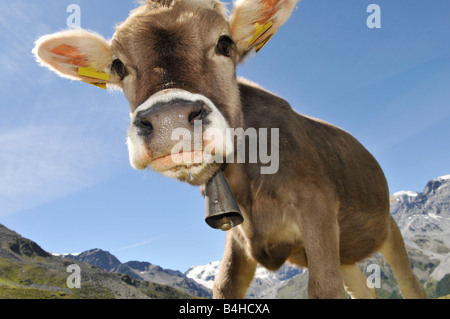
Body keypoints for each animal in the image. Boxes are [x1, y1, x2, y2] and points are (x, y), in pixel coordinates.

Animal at [33, 0, 428, 300]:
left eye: (224, 43)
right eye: (118, 66)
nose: (169, 121)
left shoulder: (317, 208)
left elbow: (323, 288)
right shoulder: (238, 239)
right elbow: (223, 287)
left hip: (388, 227)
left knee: (411, 283)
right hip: (346, 252)